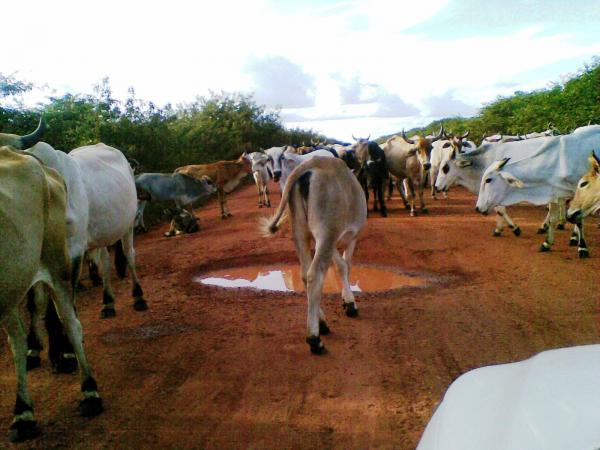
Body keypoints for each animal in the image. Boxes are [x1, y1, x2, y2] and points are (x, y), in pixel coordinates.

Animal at [0, 146, 103, 442]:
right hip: (12, 284)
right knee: (18, 339)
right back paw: (23, 413)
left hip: (57, 265)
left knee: (71, 323)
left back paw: (89, 391)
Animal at [260, 157, 368, 356]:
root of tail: (312, 163)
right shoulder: (349, 237)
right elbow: (346, 265)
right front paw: (350, 303)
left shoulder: (331, 242)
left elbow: (340, 265)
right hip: (326, 231)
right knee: (315, 275)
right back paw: (315, 339)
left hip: (301, 231)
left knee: (305, 275)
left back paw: (322, 323)